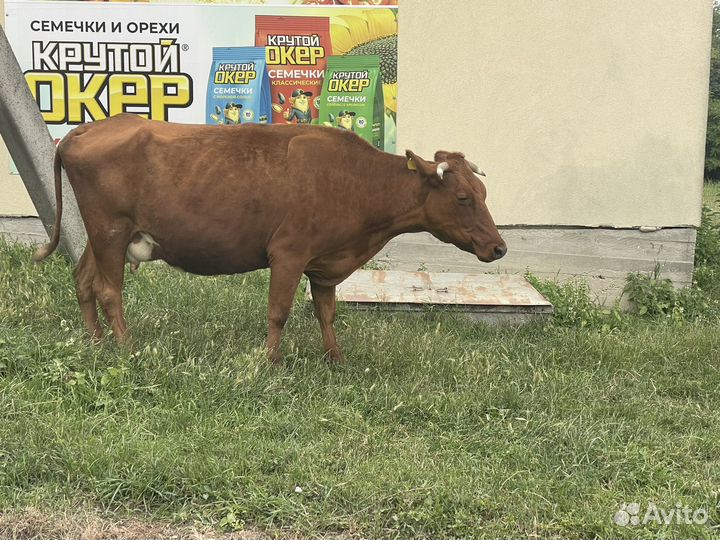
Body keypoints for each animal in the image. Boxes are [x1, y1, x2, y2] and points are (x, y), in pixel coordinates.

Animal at [33, 114, 507, 364]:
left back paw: (96, 343)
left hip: (104, 235)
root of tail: (89, 127)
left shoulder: (324, 263)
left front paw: (335, 359)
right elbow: (279, 311)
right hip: (109, 229)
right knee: (108, 289)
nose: (499, 247)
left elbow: (327, 313)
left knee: (83, 280)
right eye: (463, 197)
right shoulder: (289, 253)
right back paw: (127, 347)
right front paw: (271, 362)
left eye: (484, 193)